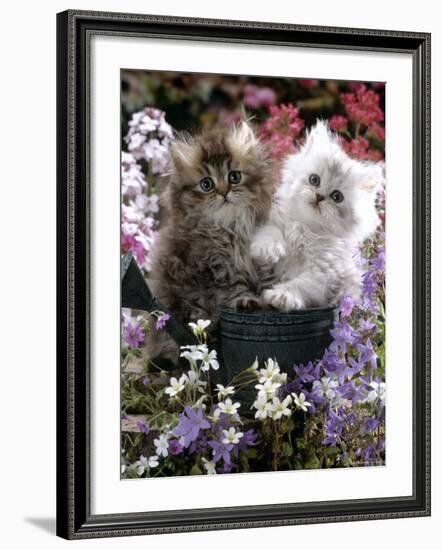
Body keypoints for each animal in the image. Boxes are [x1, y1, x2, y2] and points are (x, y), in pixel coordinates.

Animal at [147, 123, 274, 362]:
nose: (224, 192)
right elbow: (236, 289)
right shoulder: (217, 266)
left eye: (234, 177)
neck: (231, 228)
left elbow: (269, 281)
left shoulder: (261, 258)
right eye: (207, 184)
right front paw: (248, 302)